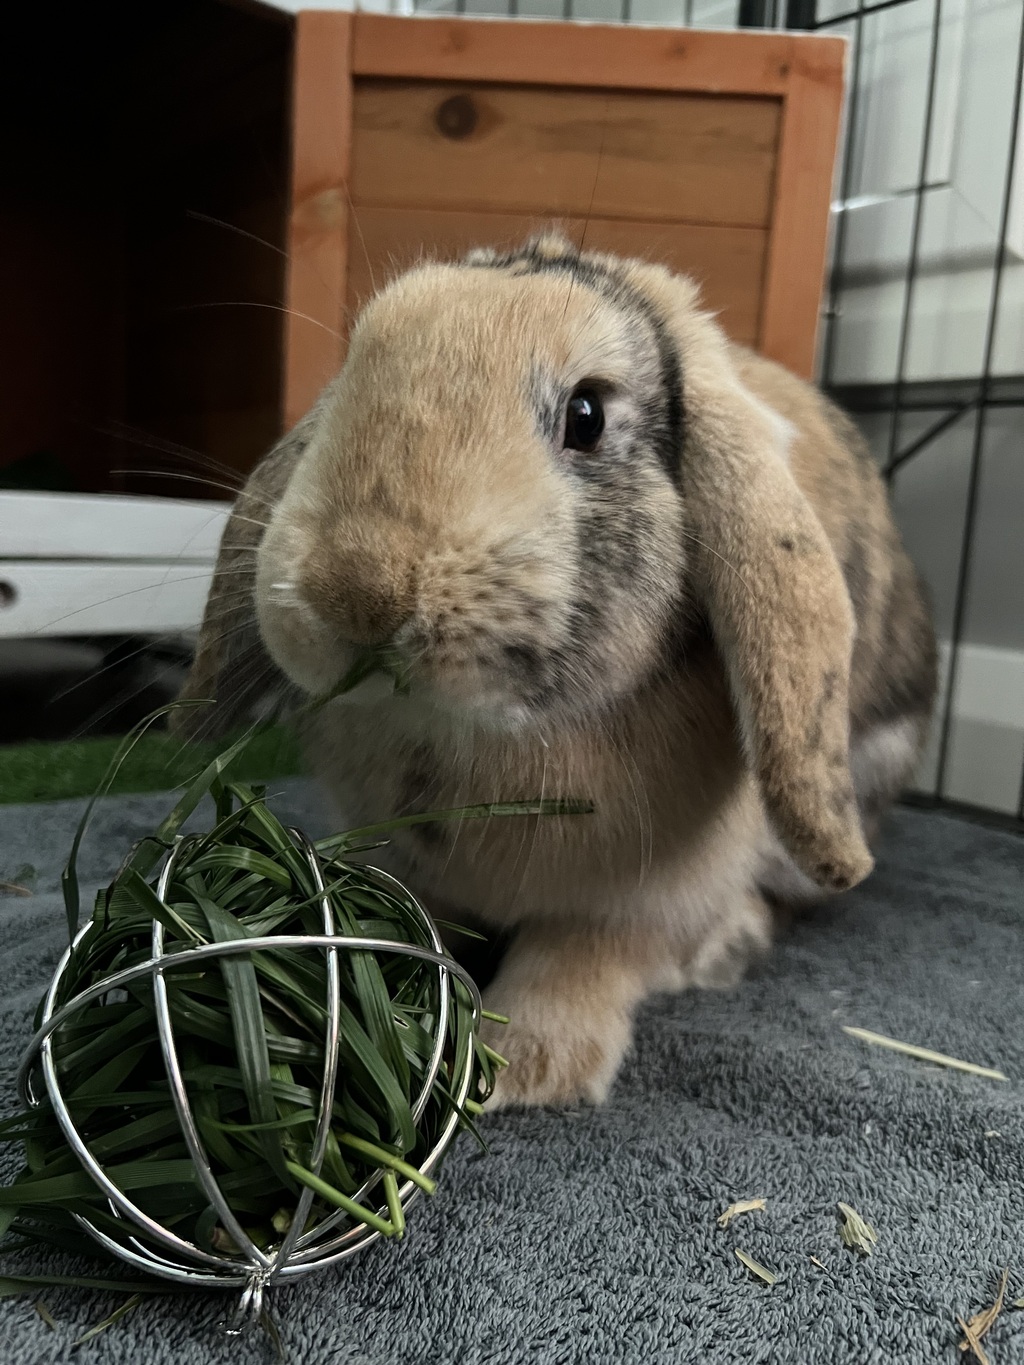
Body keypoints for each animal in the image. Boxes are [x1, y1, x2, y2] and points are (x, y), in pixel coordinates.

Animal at [176, 232, 937, 1109]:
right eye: (349, 380)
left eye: (588, 416)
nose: (356, 585)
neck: (467, 739)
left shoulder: (636, 902)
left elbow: (582, 954)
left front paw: (528, 1070)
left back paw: (725, 948)